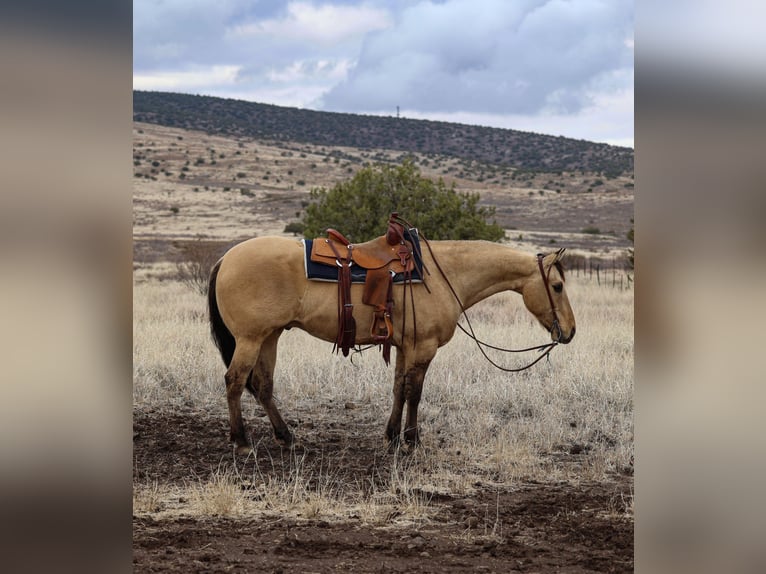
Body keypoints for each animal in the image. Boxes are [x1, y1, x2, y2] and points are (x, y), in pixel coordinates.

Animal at [207, 224, 572, 454]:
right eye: (557, 286)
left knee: (263, 386)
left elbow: (399, 388)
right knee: (234, 381)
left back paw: (286, 437)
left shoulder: (404, 347)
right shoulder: (423, 347)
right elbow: (415, 392)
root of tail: (226, 258)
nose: (569, 331)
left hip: (269, 336)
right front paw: (411, 441)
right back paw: (242, 441)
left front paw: (392, 436)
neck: (443, 275)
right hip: (250, 338)